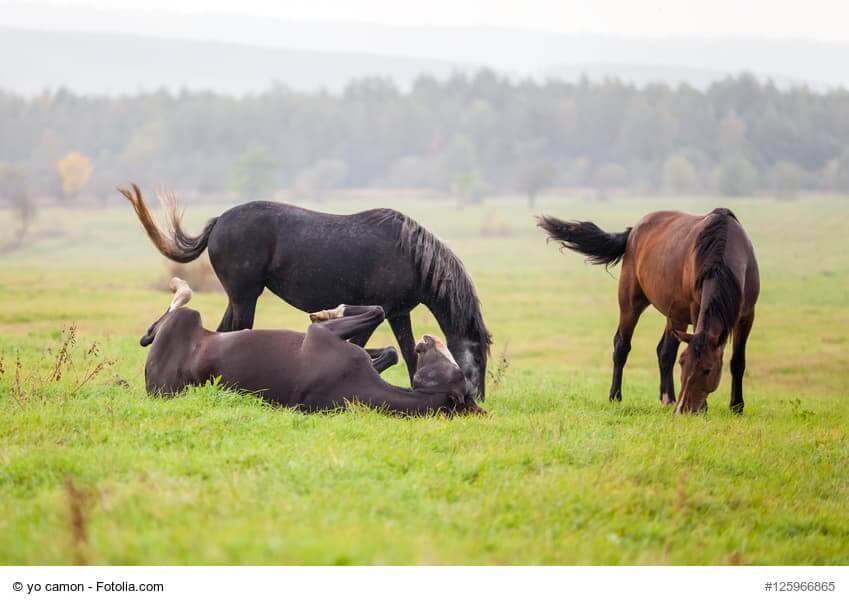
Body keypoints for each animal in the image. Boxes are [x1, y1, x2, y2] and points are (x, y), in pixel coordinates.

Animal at [120, 185, 491, 399]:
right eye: (478, 358)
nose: (477, 397)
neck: (410, 255)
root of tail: (219, 221)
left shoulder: (399, 313)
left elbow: (409, 355)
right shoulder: (384, 309)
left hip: (238, 297)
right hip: (245, 296)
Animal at [141, 278, 484, 416]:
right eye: (460, 374)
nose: (427, 341)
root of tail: (151, 388)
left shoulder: (320, 336)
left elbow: (374, 312)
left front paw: (329, 310)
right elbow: (388, 348)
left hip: (184, 322)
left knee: (164, 319)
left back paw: (180, 287)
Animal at [538, 208, 759, 414]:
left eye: (707, 369)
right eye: (683, 364)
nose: (683, 410)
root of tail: (633, 231)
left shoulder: (747, 316)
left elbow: (738, 361)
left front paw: (737, 406)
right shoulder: (696, 309)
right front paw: (708, 407)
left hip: (676, 315)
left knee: (665, 351)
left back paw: (668, 398)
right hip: (631, 302)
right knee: (622, 345)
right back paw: (616, 396)